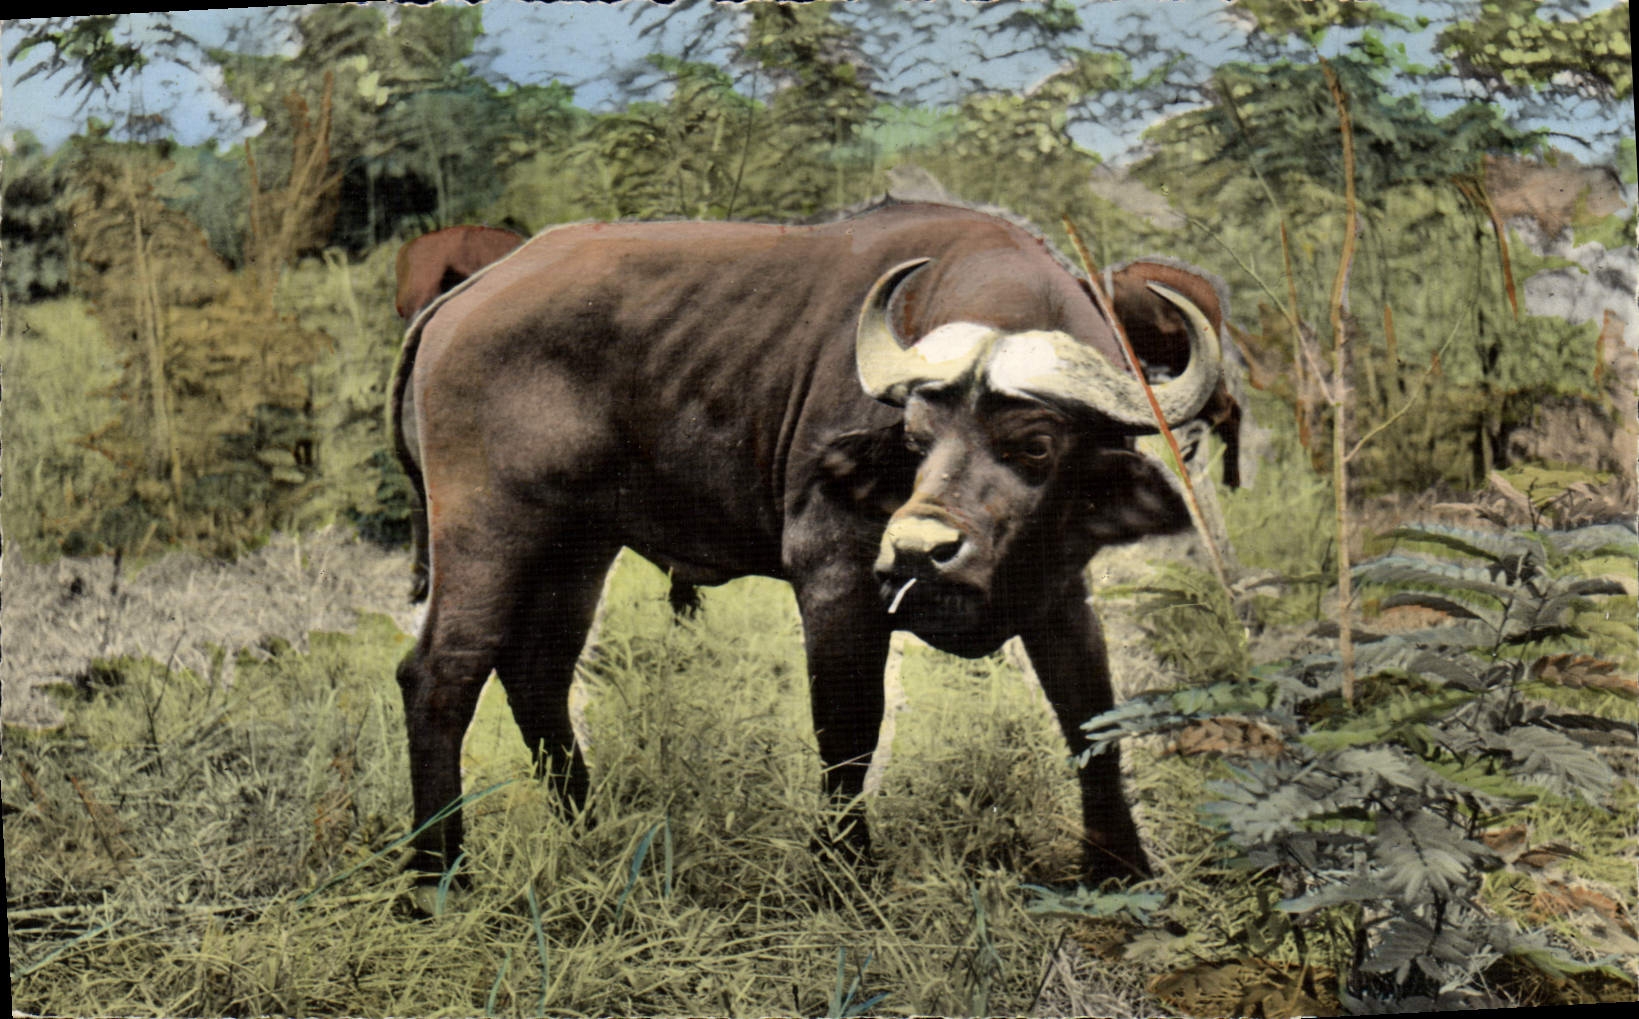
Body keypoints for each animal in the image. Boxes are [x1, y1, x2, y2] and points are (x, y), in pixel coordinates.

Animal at [391, 201, 1225, 885]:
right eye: (916, 441)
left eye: (1036, 445)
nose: (917, 550)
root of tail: (458, 300)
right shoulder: (836, 577)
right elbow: (848, 727)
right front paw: (842, 867)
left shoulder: (1059, 588)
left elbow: (1091, 713)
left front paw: (1120, 864)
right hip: (487, 529)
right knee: (440, 675)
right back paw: (438, 872)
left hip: (578, 544)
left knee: (536, 672)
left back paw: (588, 829)